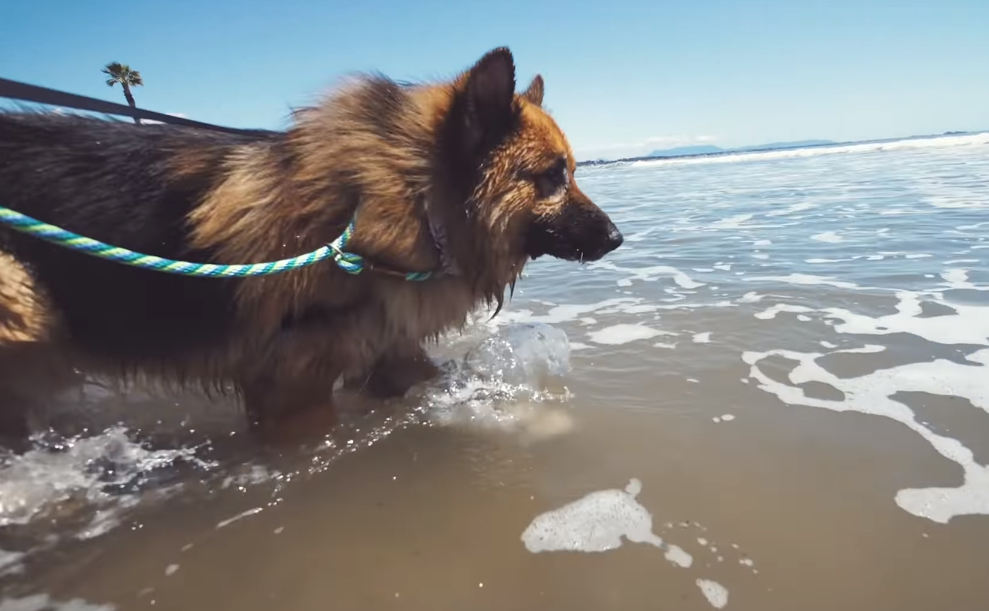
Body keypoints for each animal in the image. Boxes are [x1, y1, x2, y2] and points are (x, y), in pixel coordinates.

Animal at [0, 47, 616, 444]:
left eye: (571, 170)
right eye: (552, 176)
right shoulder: (292, 386)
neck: (406, 201)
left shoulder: (389, 350)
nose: (617, 238)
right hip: (22, 303)